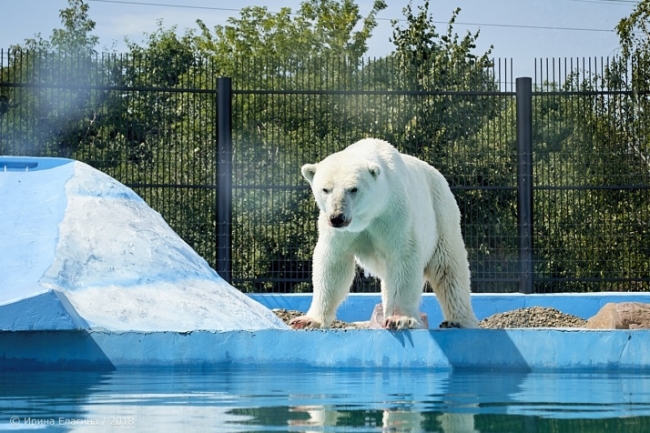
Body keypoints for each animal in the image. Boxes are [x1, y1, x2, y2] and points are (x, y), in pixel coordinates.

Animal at [288, 137, 476, 330]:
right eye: (326, 189)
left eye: (353, 189)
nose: (337, 218)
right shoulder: (339, 232)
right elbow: (333, 262)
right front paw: (307, 320)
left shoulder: (395, 213)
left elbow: (403, 257)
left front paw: (399, 319)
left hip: (441, 213)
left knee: (449, 268)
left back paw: (458, 321)